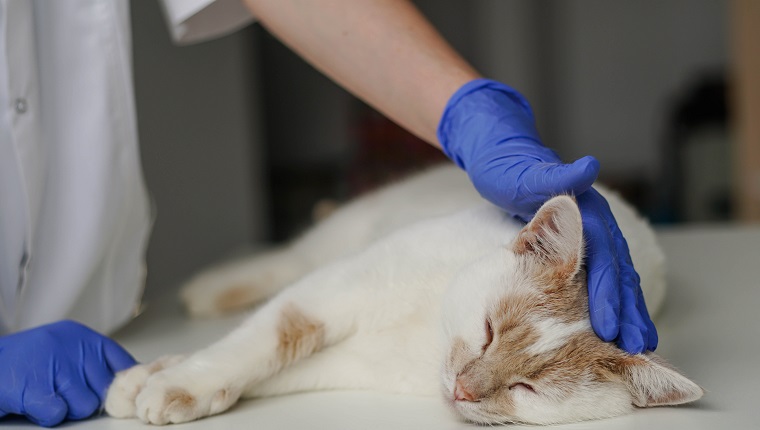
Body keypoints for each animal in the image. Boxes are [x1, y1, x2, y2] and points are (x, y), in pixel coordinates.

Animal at [105, 165, 700, 426]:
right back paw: (210, 288)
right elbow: (260, 342)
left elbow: (274, 369)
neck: (428, 327)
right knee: (289, 259)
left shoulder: (354, 363)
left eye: (525, 388)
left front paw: (153, 380)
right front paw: (172, 379)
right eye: (487, 331)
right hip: (345, 235)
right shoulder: (335, 289)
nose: (463, 388)